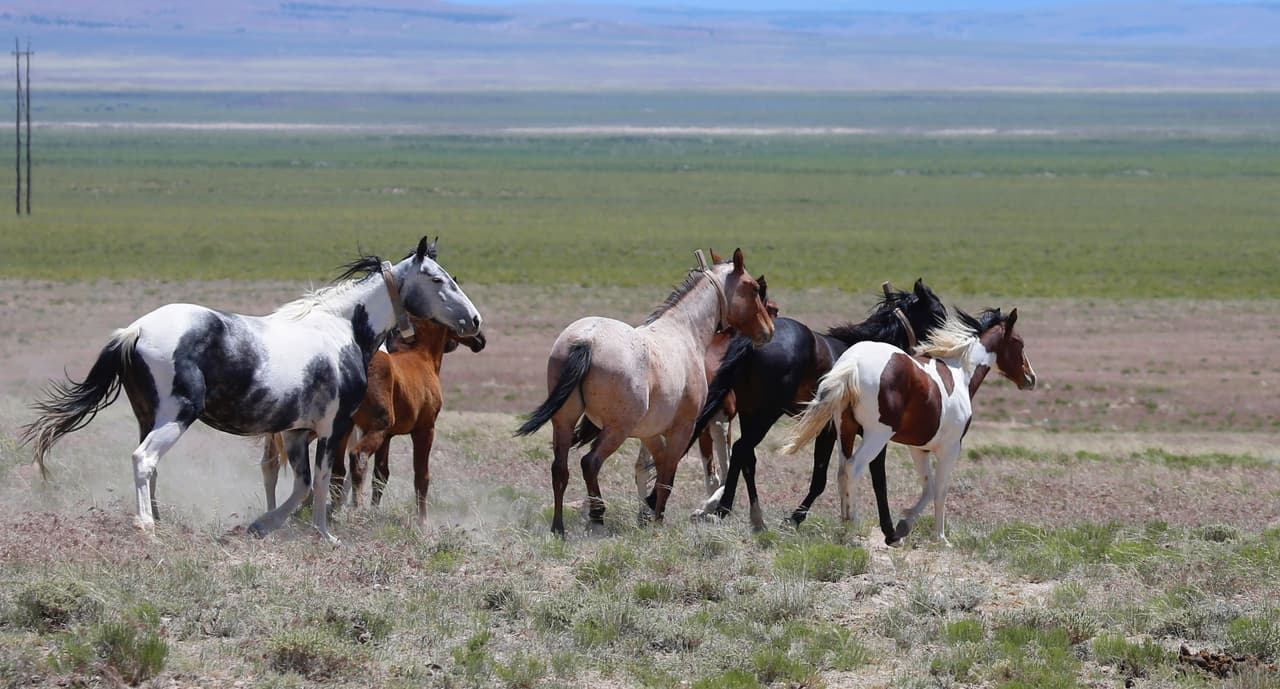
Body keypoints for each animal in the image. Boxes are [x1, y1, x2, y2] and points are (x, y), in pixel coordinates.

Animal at [259, 314, 485, 527]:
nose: (480, 339)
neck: (421, 358)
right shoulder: (424, 429)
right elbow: (421, 476)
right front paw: (422, 523)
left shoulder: (388, 436)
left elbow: (381, 474)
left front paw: (374, 511)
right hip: (368, 429)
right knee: (356, 459)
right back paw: (350, 507)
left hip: (343, 429)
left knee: (328, 469)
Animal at [515, 248, 775, 537]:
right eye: (754, 289)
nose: (768, 331)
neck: (685, 332)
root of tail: (586, 340)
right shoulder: (683, 429)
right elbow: (667, 476)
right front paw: (658, 522)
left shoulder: (649, 433)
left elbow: (657, 469)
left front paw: (649, 515)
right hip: (617, 429)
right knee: (590, 463)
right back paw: (597, 518)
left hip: (564, 421)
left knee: (560, 469)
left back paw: (558, 528)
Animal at [686, 279, 948, 537]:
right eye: (939, 313)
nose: (943, 353)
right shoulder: (862, 434)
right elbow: (865, 478)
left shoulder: (834, 432)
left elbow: (837, 474)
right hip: (765, 414)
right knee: (742, 450)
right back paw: (724, 508)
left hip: (750, 413)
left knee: (747, 457)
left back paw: (756, 519)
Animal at [782, 308, 1036, 545]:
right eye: (1018, 342)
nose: (1030, 378)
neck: (960, 375)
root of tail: (852, 364)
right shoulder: (950, 449)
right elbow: (940, 490)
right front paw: (940, 538)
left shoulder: (918, 449)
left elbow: (928, 487)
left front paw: (903, 526)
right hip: (876, 436)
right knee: (854, 468)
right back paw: (852, 528)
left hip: (845, 429)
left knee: (842, 470)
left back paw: (844, 525)